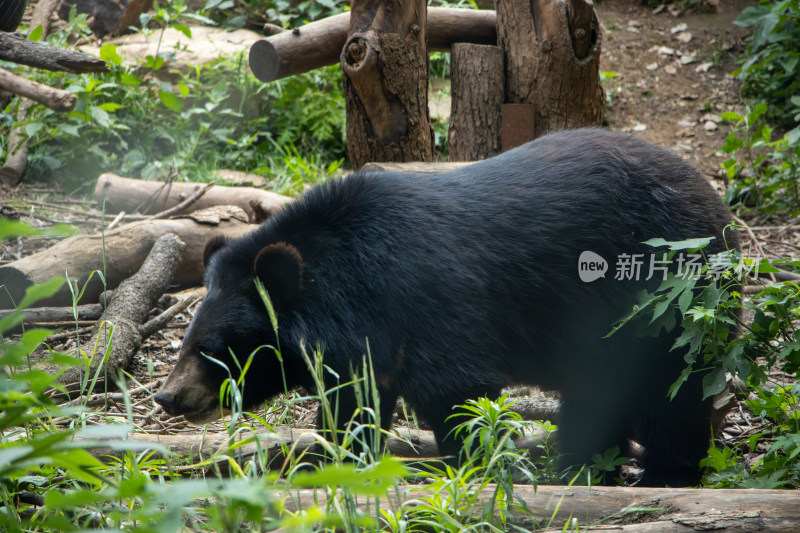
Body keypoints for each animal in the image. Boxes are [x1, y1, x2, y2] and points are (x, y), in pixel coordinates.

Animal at [156, 127, 736, 484]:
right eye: (187, 341)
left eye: (212, 349)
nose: (167, 396)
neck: (351, 291)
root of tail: (713, 198)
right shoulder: (364, 349)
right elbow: (353, 407)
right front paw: (340, 465)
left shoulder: (432, 302)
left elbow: (457, 391)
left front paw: (476, 471)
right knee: (599, 393)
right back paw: (582, 468)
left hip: (669, 298)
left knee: (673, 387)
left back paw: (666, 472)